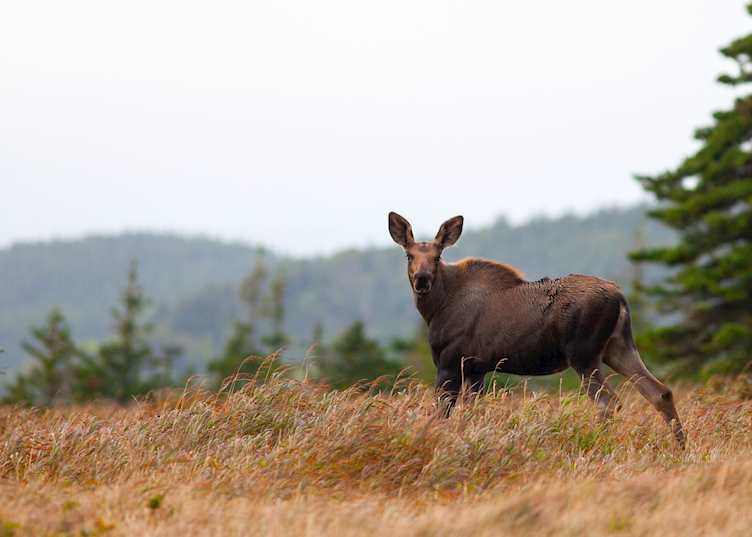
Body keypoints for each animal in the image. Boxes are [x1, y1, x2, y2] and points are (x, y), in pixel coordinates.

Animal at [388, 212, 686, 448]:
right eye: (408, 255)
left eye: (437, 257)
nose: (422, 279)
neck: (437, 308)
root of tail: (621, 297)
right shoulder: (476, 368)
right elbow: (471, 413)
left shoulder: (450, 361)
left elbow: (441, 413)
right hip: (618, 346)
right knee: (660, 392)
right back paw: (680, 448)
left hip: (583, 354)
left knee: (608, 402)